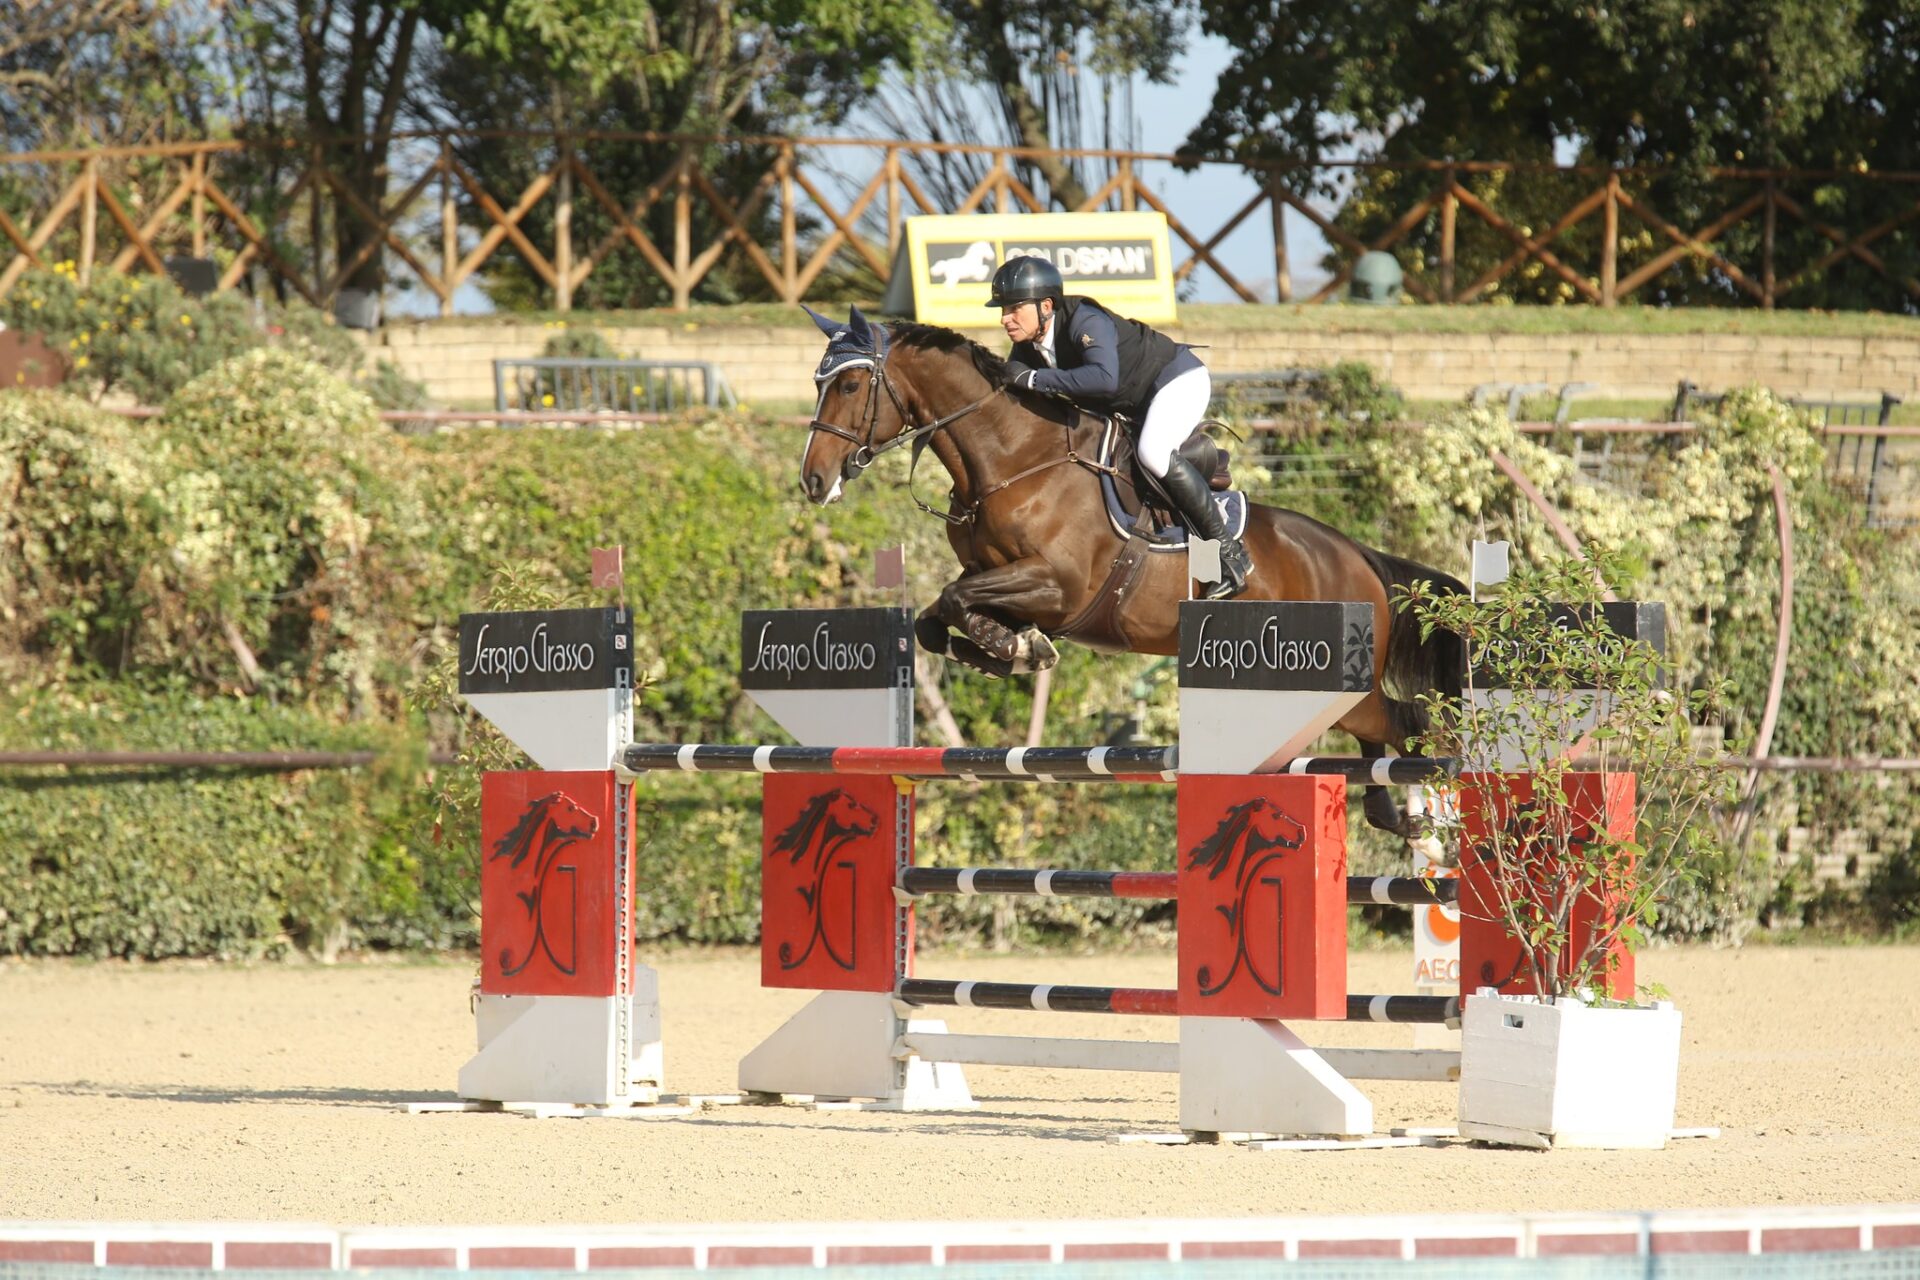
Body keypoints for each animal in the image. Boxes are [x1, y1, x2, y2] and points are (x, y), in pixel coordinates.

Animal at [795, 305, 1467, 836]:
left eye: (850, 385)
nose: (814, 481)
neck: (1014, 459)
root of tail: (1358, 556)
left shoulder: (1060, 586)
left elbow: (959, 598)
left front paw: (1019, 648)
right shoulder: (1002, 579)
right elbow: (936, 618)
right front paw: (1008, 649)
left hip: (1349, 688)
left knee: (1413, 727)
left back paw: (1428, 816)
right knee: (1379, 737)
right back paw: (1390, 812)